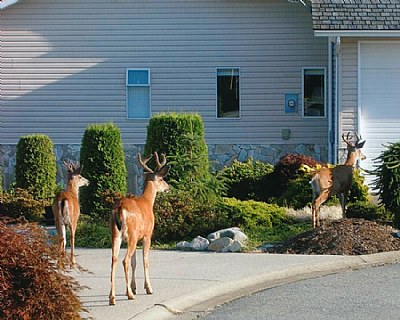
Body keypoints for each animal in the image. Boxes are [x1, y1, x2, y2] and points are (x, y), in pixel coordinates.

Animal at [109, 151, 170, 306]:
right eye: (161, 179)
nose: (168, 187)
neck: (148, 202)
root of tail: (119, 209)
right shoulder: (147, 235)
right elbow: (145, 261)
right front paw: (148, 288)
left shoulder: (137, 238)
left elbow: (134, 262)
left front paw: (134, 287)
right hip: (131, 234)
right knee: (124, 260)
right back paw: (129, 295)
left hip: (116, 234)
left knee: (114, 260)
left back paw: (112, 297)